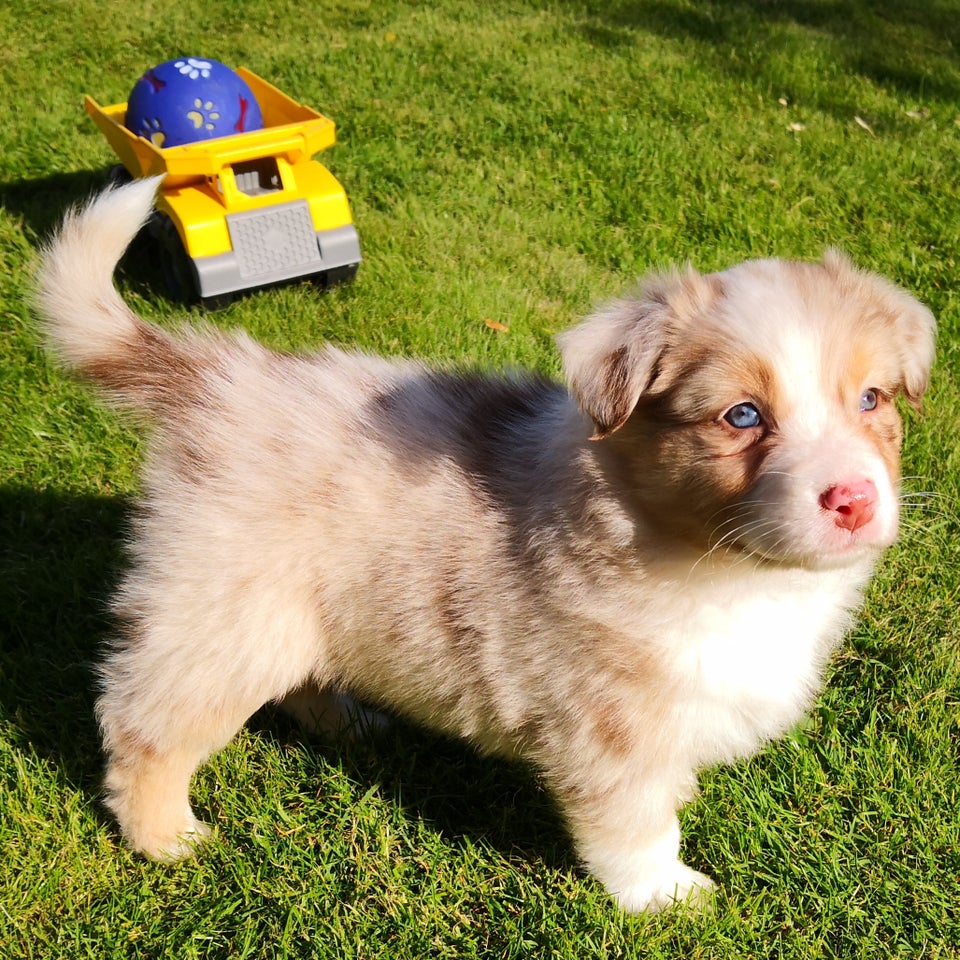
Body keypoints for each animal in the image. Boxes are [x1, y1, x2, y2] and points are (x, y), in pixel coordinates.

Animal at [35, 182, 928, 916]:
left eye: (872, 399)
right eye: (742, 416)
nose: (854, 499)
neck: (727, 568)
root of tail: (216, 374)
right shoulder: (612, 730)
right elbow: (638, 824)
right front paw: (667, 897)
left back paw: (350, 723)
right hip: (219, 619)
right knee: (143, 723)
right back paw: (167, 836)